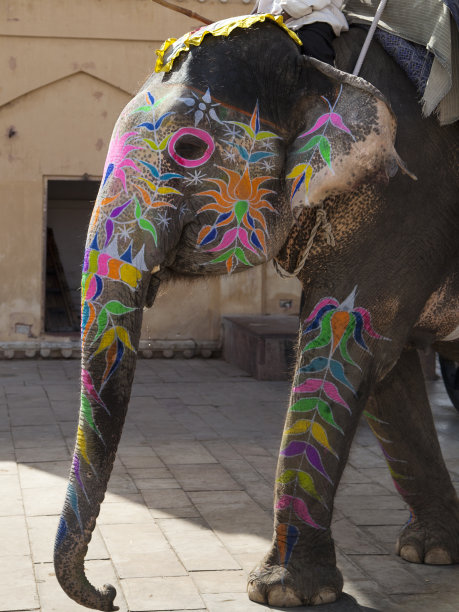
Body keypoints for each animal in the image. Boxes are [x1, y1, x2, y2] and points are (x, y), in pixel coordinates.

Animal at [52, 15, 458, 612]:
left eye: (189, 147)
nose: (109, 591)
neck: (313, 52)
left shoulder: (407, 195)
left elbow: (344, 344)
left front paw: (281, 591)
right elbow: (386, 368)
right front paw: (428, 554)